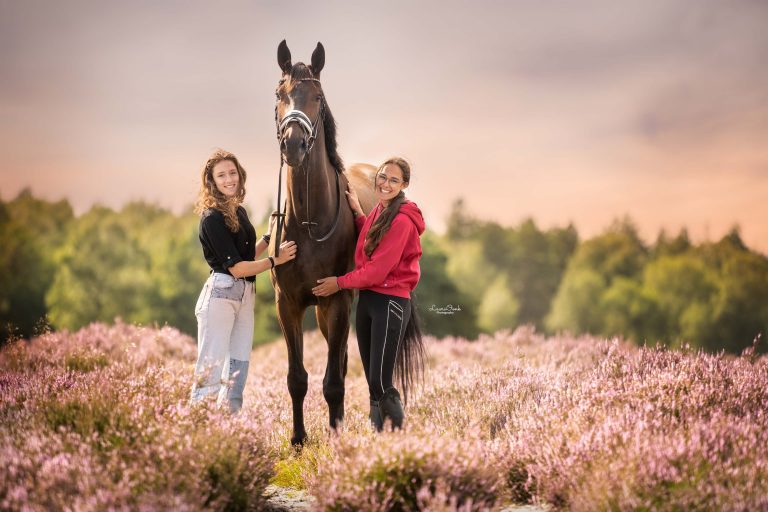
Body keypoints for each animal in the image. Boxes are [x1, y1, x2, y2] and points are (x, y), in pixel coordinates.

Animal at [270, 40, 375, 446]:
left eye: (317, 96)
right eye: (280, 94)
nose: (293, 144)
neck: (310, 223)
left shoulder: (338, 300)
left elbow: (333, 380)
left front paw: (335, 437)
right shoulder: (288, 304)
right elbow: (296, 377)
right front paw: (298, 439)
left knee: (341, 363)